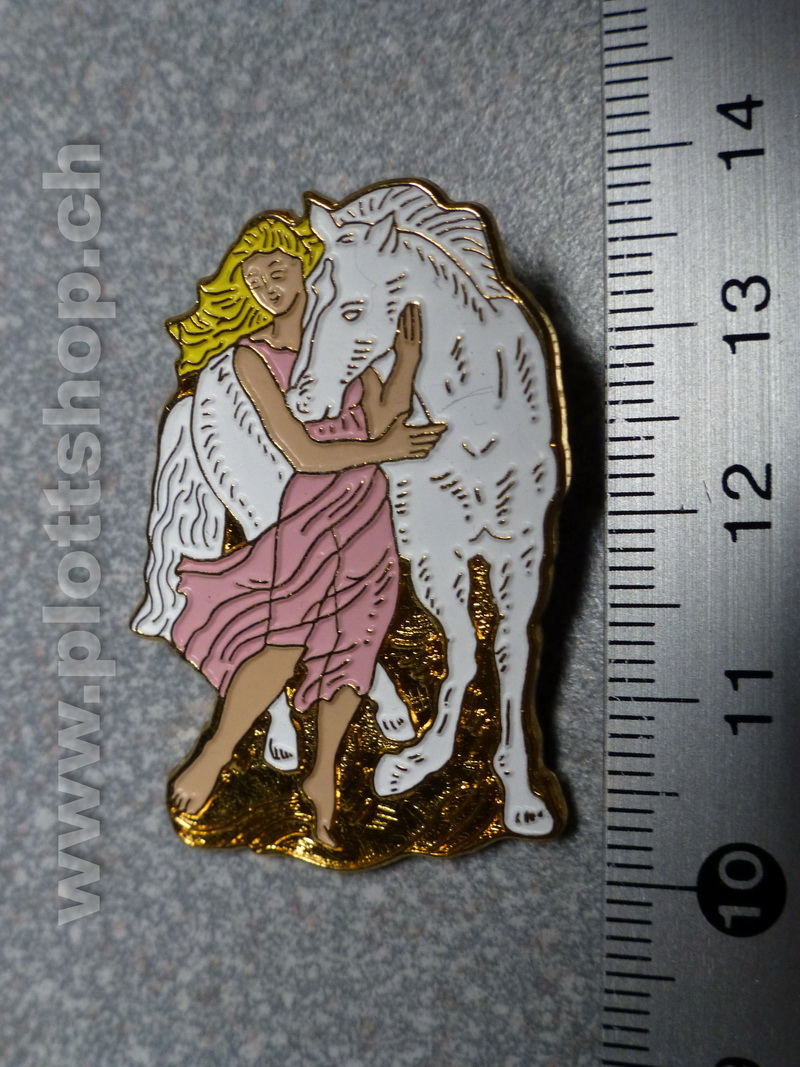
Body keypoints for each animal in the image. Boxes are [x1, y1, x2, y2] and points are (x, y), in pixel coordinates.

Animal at [286, 181, 568, 836]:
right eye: (310, 300)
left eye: (354, 310)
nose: (302, 404)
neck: (476, 420)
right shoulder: (437, 552)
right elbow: (462, 647)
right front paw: (415, 764)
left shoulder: (523, 548)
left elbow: (512, 652)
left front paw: (522, 797)